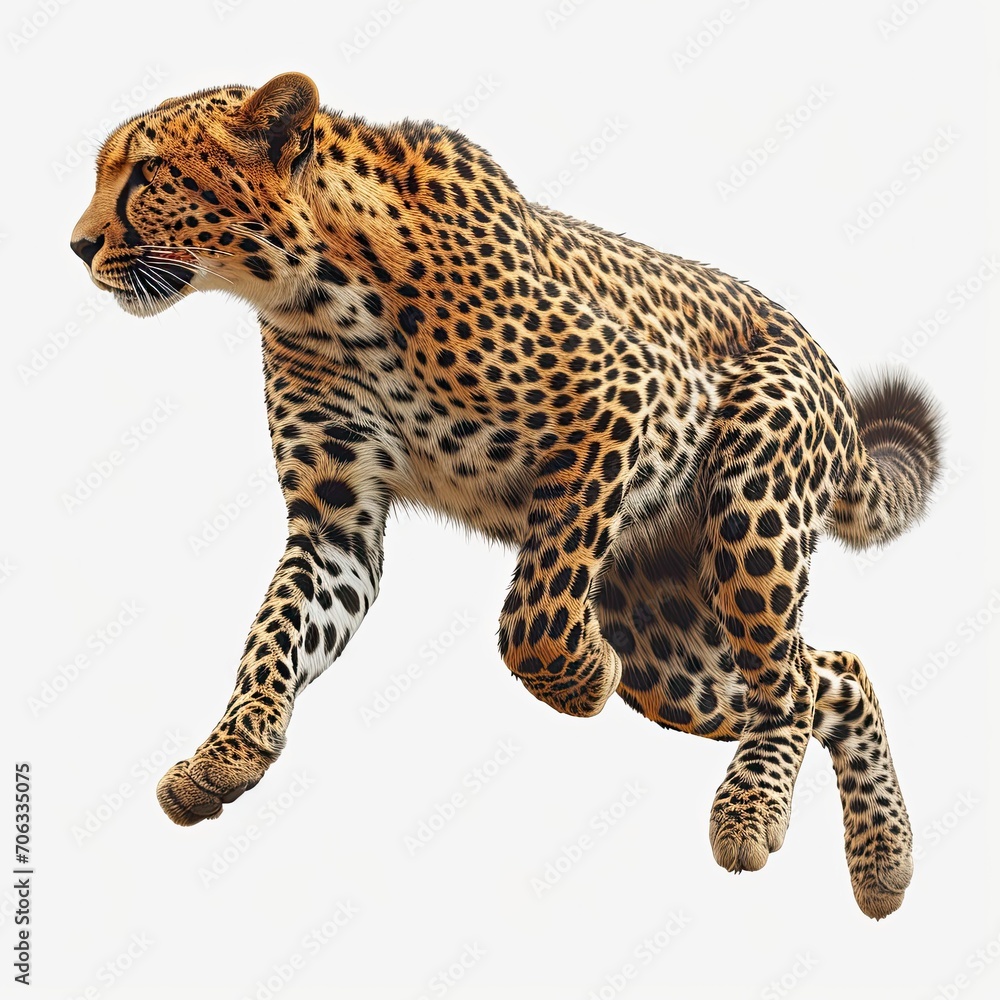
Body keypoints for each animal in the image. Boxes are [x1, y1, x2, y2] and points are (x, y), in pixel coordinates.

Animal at [71, 73, 942, 919]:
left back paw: (753, 810)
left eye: (146, 174)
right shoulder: (334, 520)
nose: (78, 246)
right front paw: (224, 757)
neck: (317, 293)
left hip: (752, 506)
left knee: (787, 683)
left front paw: (583, 672)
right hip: (673, 656)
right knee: (836, 672)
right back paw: (884, 866)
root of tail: (824, 362)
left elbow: (538, 610)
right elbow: (277, 633)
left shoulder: (618, 389)